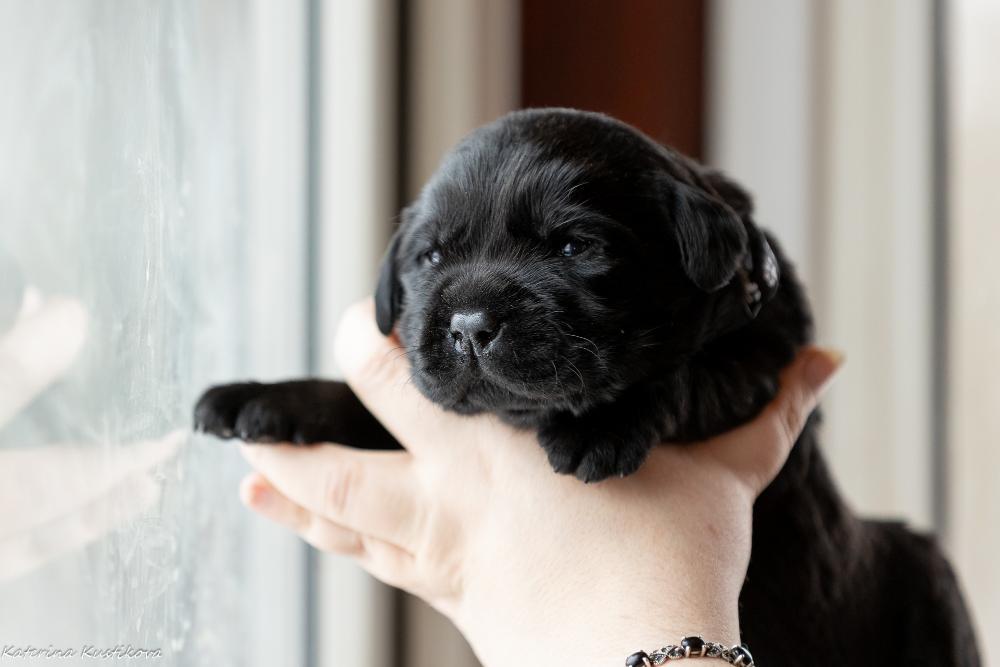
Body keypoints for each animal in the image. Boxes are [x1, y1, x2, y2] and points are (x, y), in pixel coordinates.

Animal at [195, 109, 980, 665]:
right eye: (432, 257)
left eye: (574, 247)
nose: (469, 324)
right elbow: (376, 404)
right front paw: (268, 396)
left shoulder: (761, 355)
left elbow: (686, 373)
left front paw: (597, 426)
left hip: (928, 574)